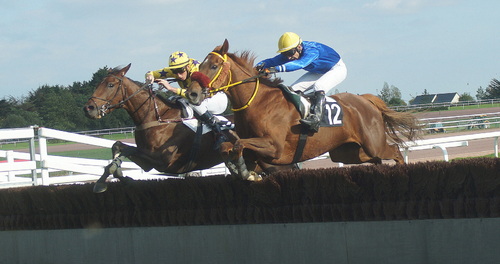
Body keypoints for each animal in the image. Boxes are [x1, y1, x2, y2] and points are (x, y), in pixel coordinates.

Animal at [186, 39, 420, 179]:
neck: (258, 102)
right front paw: (241, 169)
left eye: (213, 66)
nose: (192, 93)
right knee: (377, 160)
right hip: (349, 152)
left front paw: (243, 170)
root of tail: (365, 101)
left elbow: (239, 145)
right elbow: (230, 147)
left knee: (395, 151)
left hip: (373, 144)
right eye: (200, 65)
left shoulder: (275, 148)